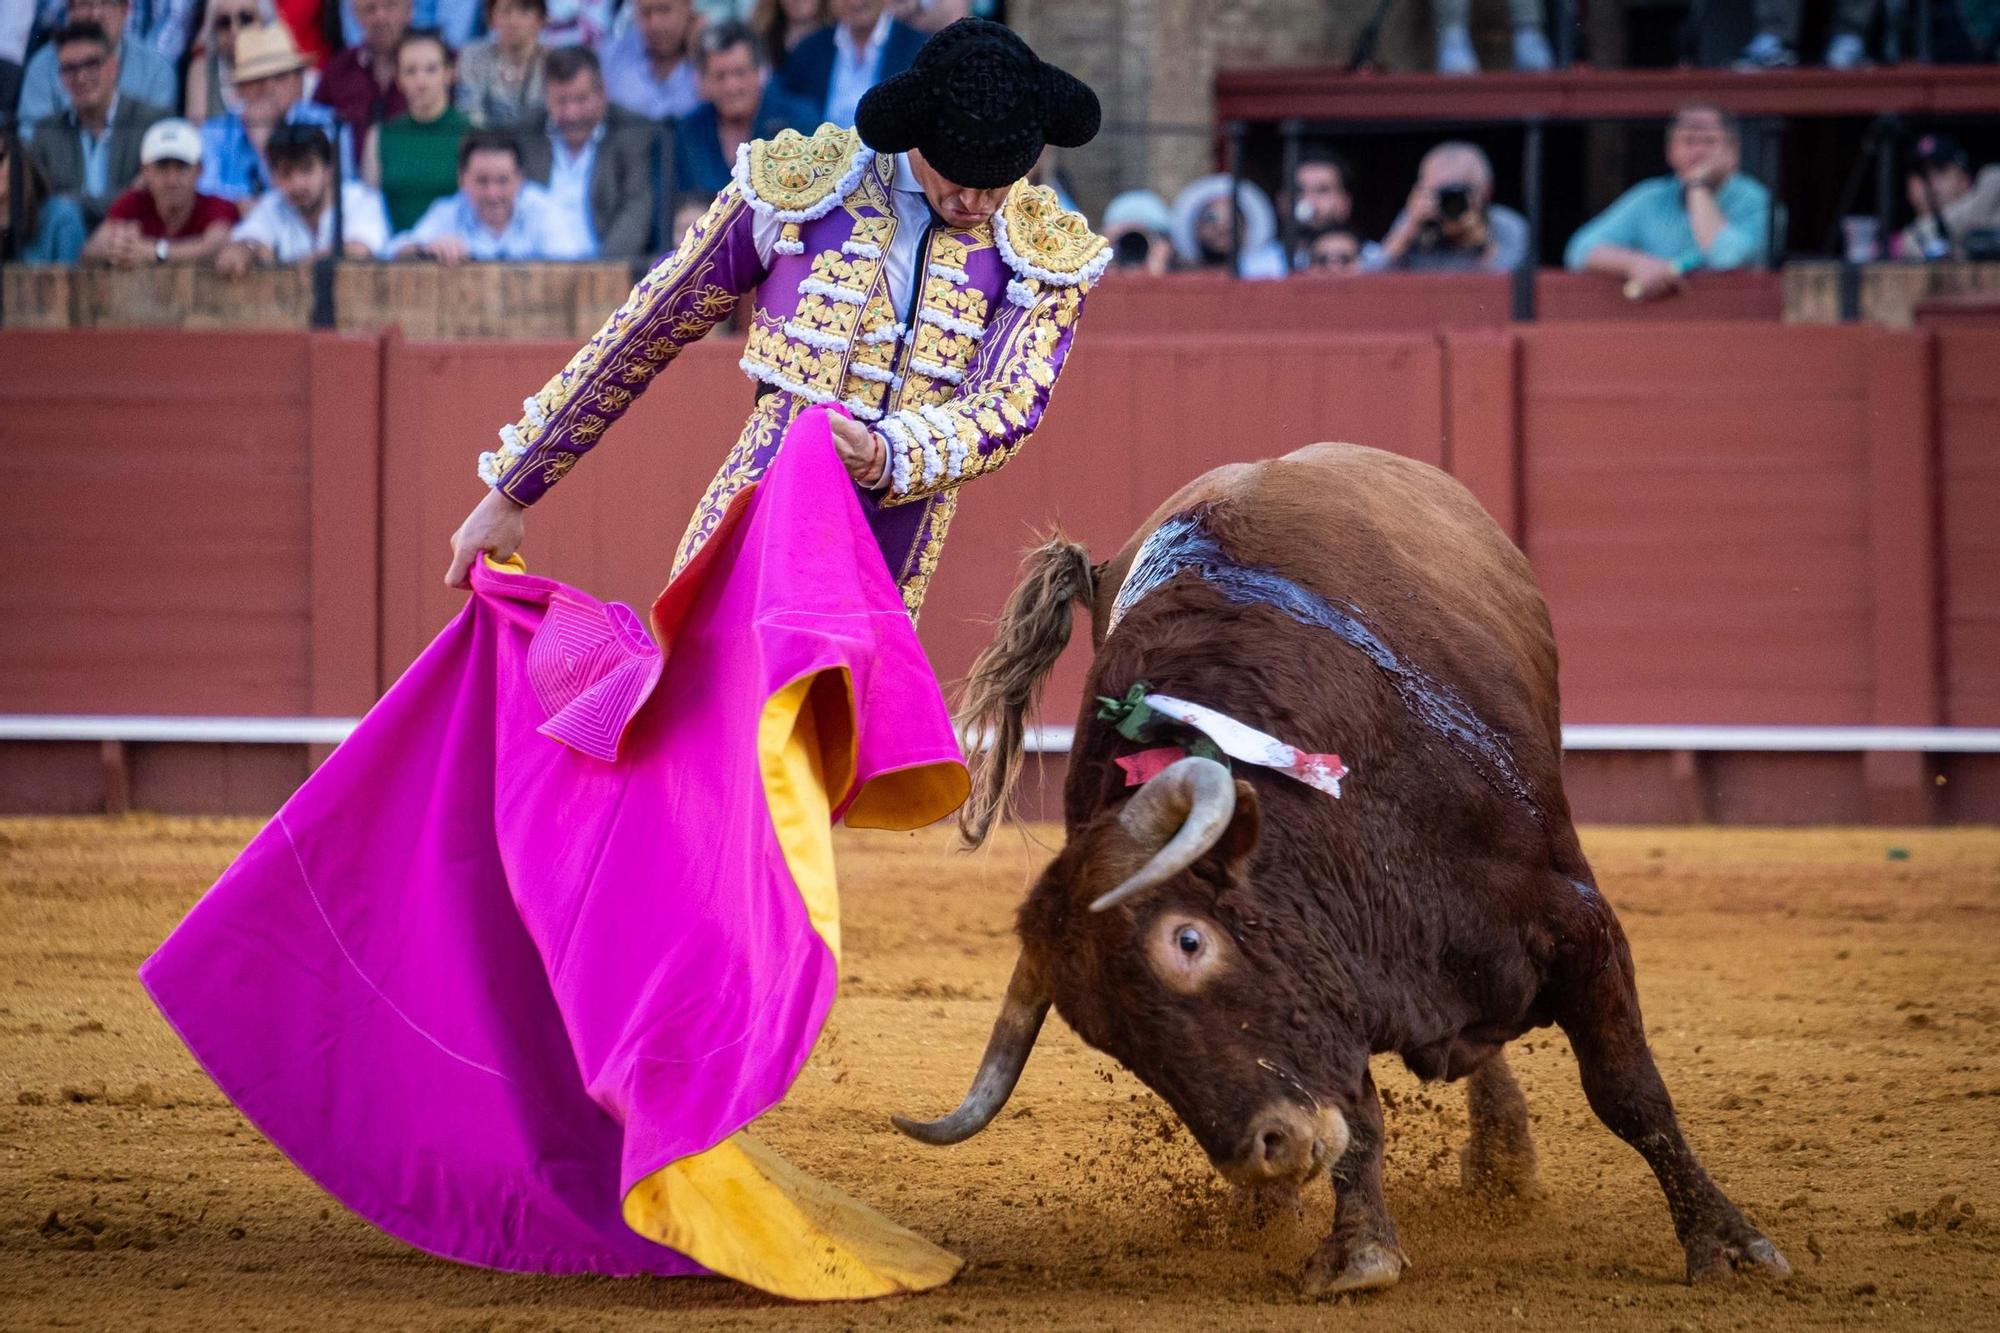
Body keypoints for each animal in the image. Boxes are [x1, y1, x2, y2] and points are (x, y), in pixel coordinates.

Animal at [900, 440, 1792, 1288]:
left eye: (1189, 940)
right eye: (1107, 1035)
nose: (1266, 1150)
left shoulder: (1578, 924)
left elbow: (1629, 1092)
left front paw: (1730, 1244)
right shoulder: (1332, 971)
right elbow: (1357, 1112)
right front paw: (1359, 1249)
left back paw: (1502, 1169)